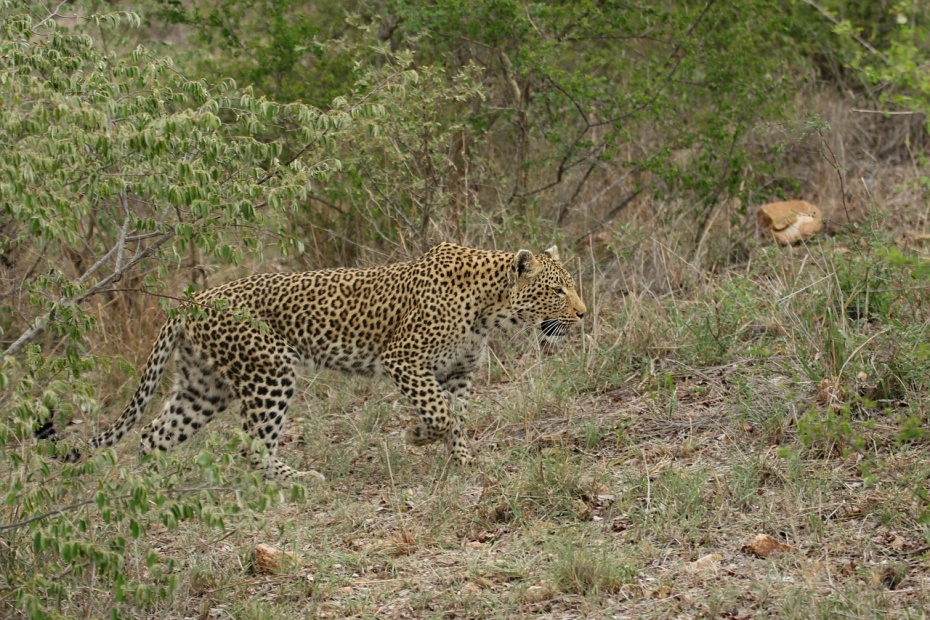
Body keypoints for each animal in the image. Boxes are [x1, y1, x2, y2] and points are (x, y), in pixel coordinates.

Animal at [49, 241, 580, 480]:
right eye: (558, 290)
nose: (582, 312)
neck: (491, 308)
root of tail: (192, 301)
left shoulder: (458, 372)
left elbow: (459, 417)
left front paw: (463, 460)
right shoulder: (404, 360)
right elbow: (439, 413)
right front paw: (417, 436)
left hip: (204, 386)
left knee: (153, 434)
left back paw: (155, 487)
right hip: (269, 374)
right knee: (252, 444)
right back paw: (296, 479)